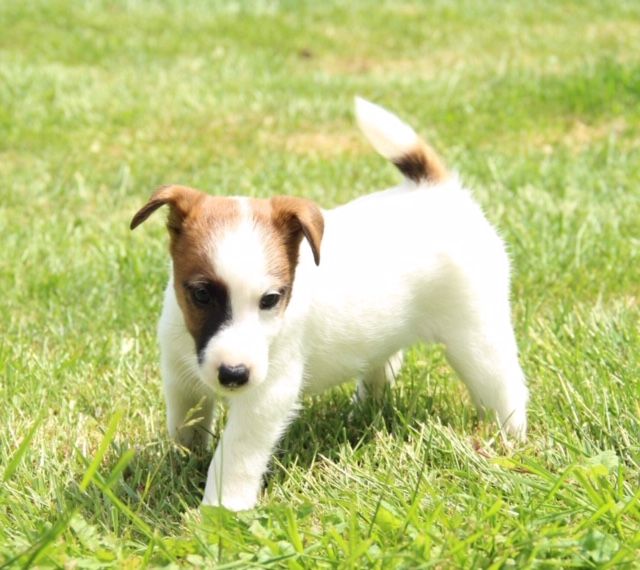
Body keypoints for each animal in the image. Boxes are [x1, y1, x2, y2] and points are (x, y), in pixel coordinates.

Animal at [130, 98, 529, 511]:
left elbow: (235, 454)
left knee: (505, 386)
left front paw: (221, 508)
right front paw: (182, 464)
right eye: (202, 295)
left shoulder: (268, 394)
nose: (234, 374)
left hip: (476, 336)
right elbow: (186, 424)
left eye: (270, 300)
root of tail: (437, 190)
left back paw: (509, 438)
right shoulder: (181, 378)